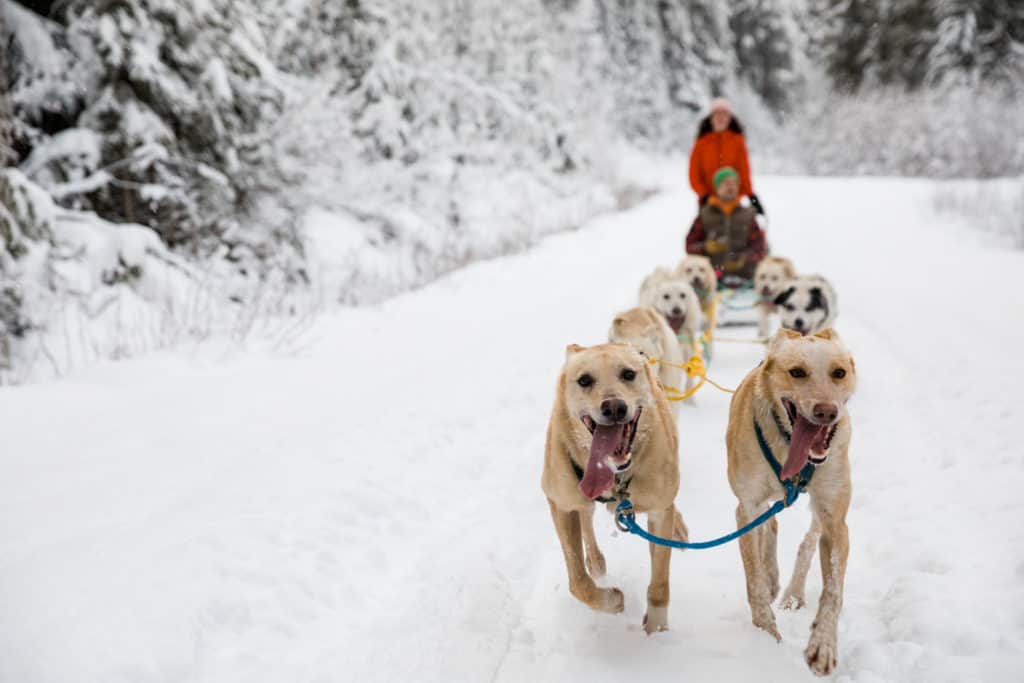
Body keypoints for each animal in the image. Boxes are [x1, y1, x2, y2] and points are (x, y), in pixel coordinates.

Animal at [536, 344, 688, 634]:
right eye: (584, 380)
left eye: (628, 374)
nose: (615, 407)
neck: (616, 477)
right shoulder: (561, 505)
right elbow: (578, 581)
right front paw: (611, 601)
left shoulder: (659, 512)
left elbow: (660, 579)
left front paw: (656, 627)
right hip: (579, 497)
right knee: (586, 520)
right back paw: (596, 563)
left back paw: (680, 530)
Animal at [724, 327, 860, 675]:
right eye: (797, 372)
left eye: (839, 372)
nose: (826, 411)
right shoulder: (746, 508)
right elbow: (754, 579)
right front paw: (766, 634)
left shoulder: (836, 521)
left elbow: (833, 590)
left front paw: (823, 645)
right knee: (769, 528)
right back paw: (774, 580)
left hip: (821, 507)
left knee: (807, 540)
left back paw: (794, 594)